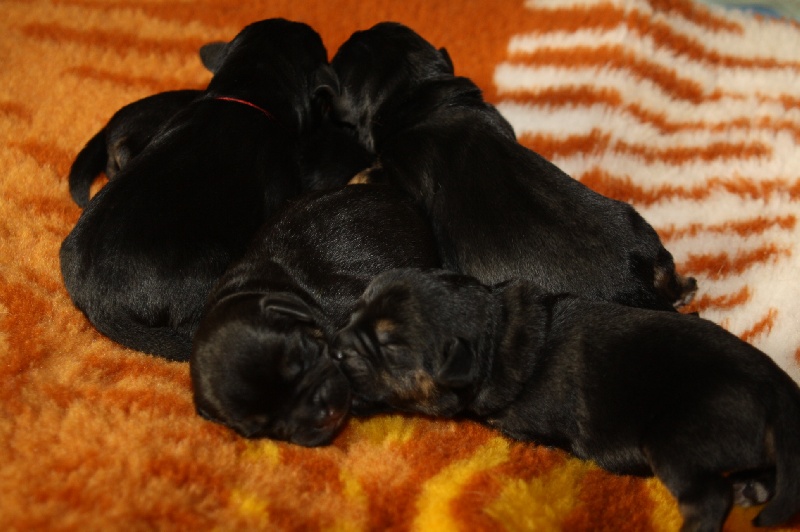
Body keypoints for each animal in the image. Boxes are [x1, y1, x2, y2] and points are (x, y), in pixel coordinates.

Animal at [334, 270, 800, 532]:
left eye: (390, 346)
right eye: (355, 308)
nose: (335, 348)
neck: (497, 331)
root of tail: (779, 388)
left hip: (676, 438)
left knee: (708, 499)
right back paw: (753, 486)